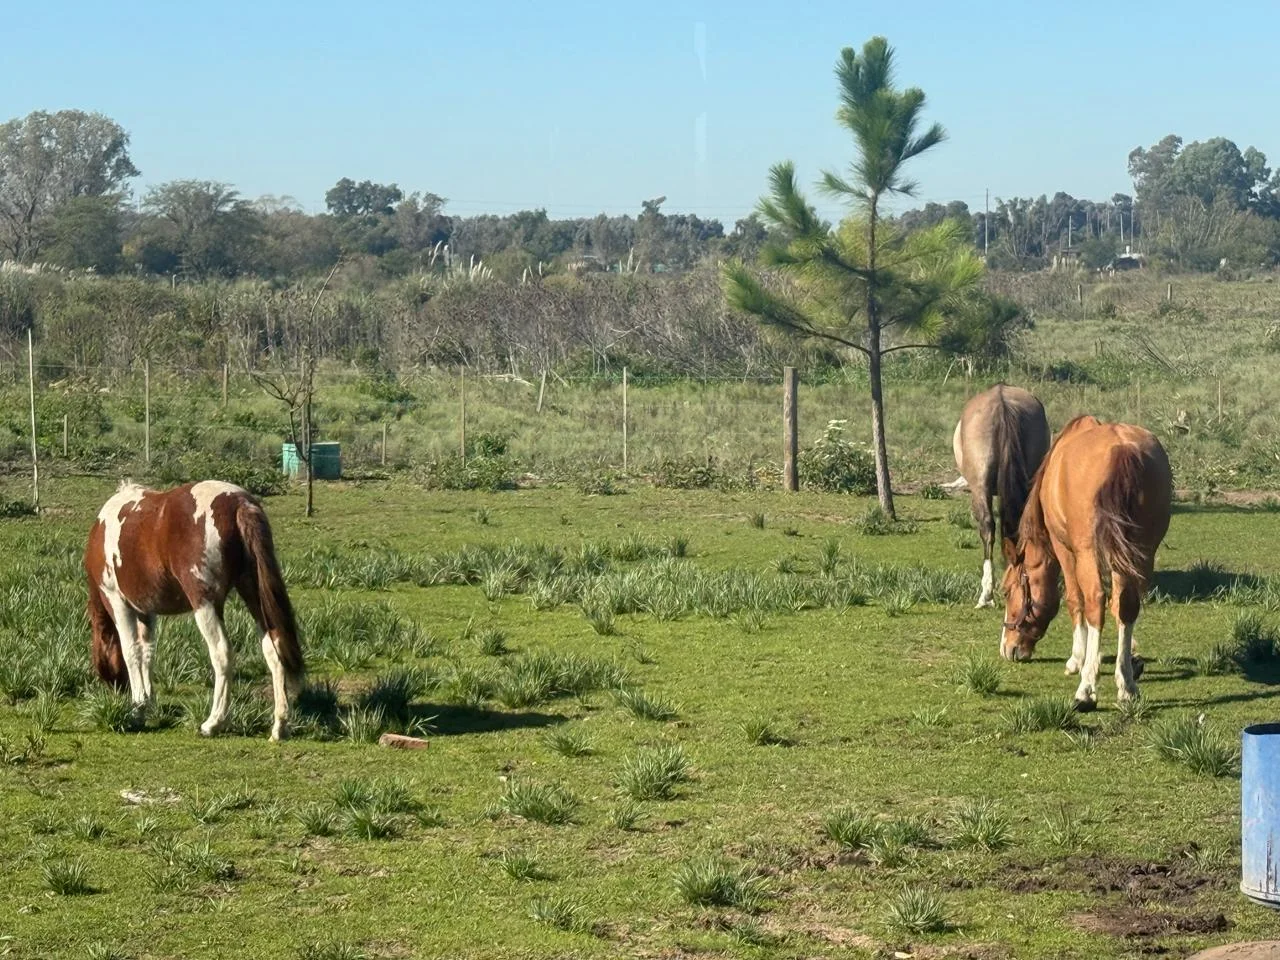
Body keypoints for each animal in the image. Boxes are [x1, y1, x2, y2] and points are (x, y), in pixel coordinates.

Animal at [84, 480, 304, 740]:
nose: (116, 688)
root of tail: (239, 503)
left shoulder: (118, 602)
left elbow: (132, 653)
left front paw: (137, 709)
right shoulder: (146, 610)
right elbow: (147, 653)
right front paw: (148, 702)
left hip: (205, 603)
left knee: (221, 653)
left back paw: (213, 722)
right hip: (253, 592)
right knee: (274, 647)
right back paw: (279, 725)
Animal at [999, 415, 1172, 710]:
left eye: (1008, 591)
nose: (1007, 648)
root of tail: (1123, 450)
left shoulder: (1065, 550)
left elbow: (1074, 600)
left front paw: (1078, 659)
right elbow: (1118, 609)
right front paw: (1131, 660)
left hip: (1088, 552)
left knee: (1095, 601)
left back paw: (1087, 688)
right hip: (1142, 550)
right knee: (1128, 606)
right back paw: (1127, 685)